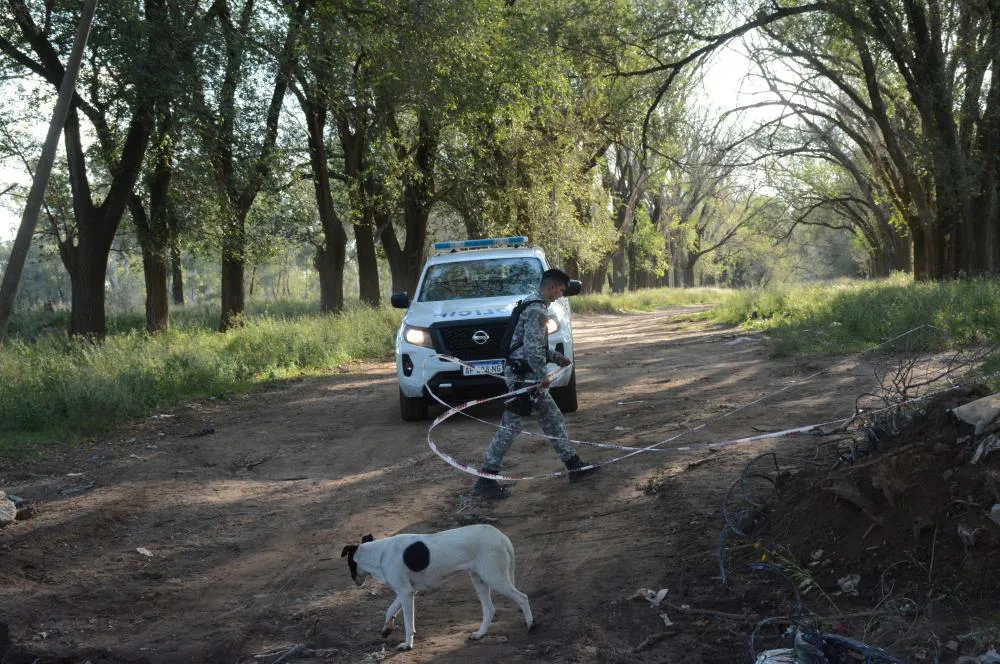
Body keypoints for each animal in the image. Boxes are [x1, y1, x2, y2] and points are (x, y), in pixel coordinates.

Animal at [342, 524, 536, 648]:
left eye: (349, 564)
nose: (353, 581)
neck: (379, 554)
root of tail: (502, 537)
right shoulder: (407, 592)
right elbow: (389, 610)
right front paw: (386, 629)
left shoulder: (406, 594)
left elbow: (408, 624)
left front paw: (407, 644)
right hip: (479, 580)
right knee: (489, 609)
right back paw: (480, 634)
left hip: (495, 578)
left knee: (522, 597)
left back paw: (530, 625)